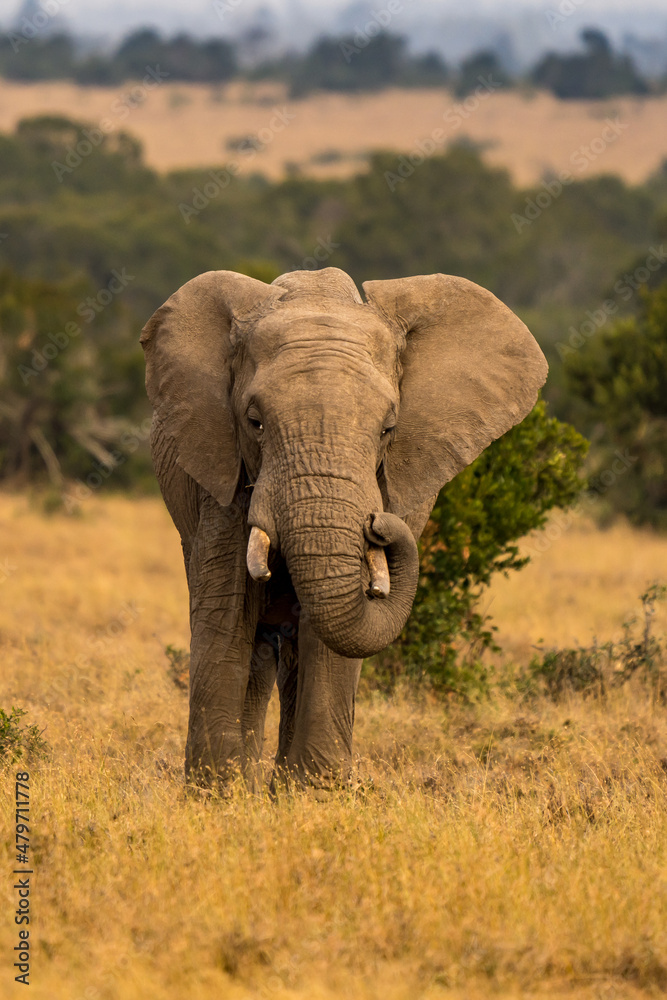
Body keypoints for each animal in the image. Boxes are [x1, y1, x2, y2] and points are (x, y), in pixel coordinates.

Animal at [141, 266, 547, 790]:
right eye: (254, 422)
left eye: (388, 430)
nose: (379, 523)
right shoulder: (219, 469)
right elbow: (226, 607)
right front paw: (217, 792)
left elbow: (329, 631)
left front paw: (312, 791)